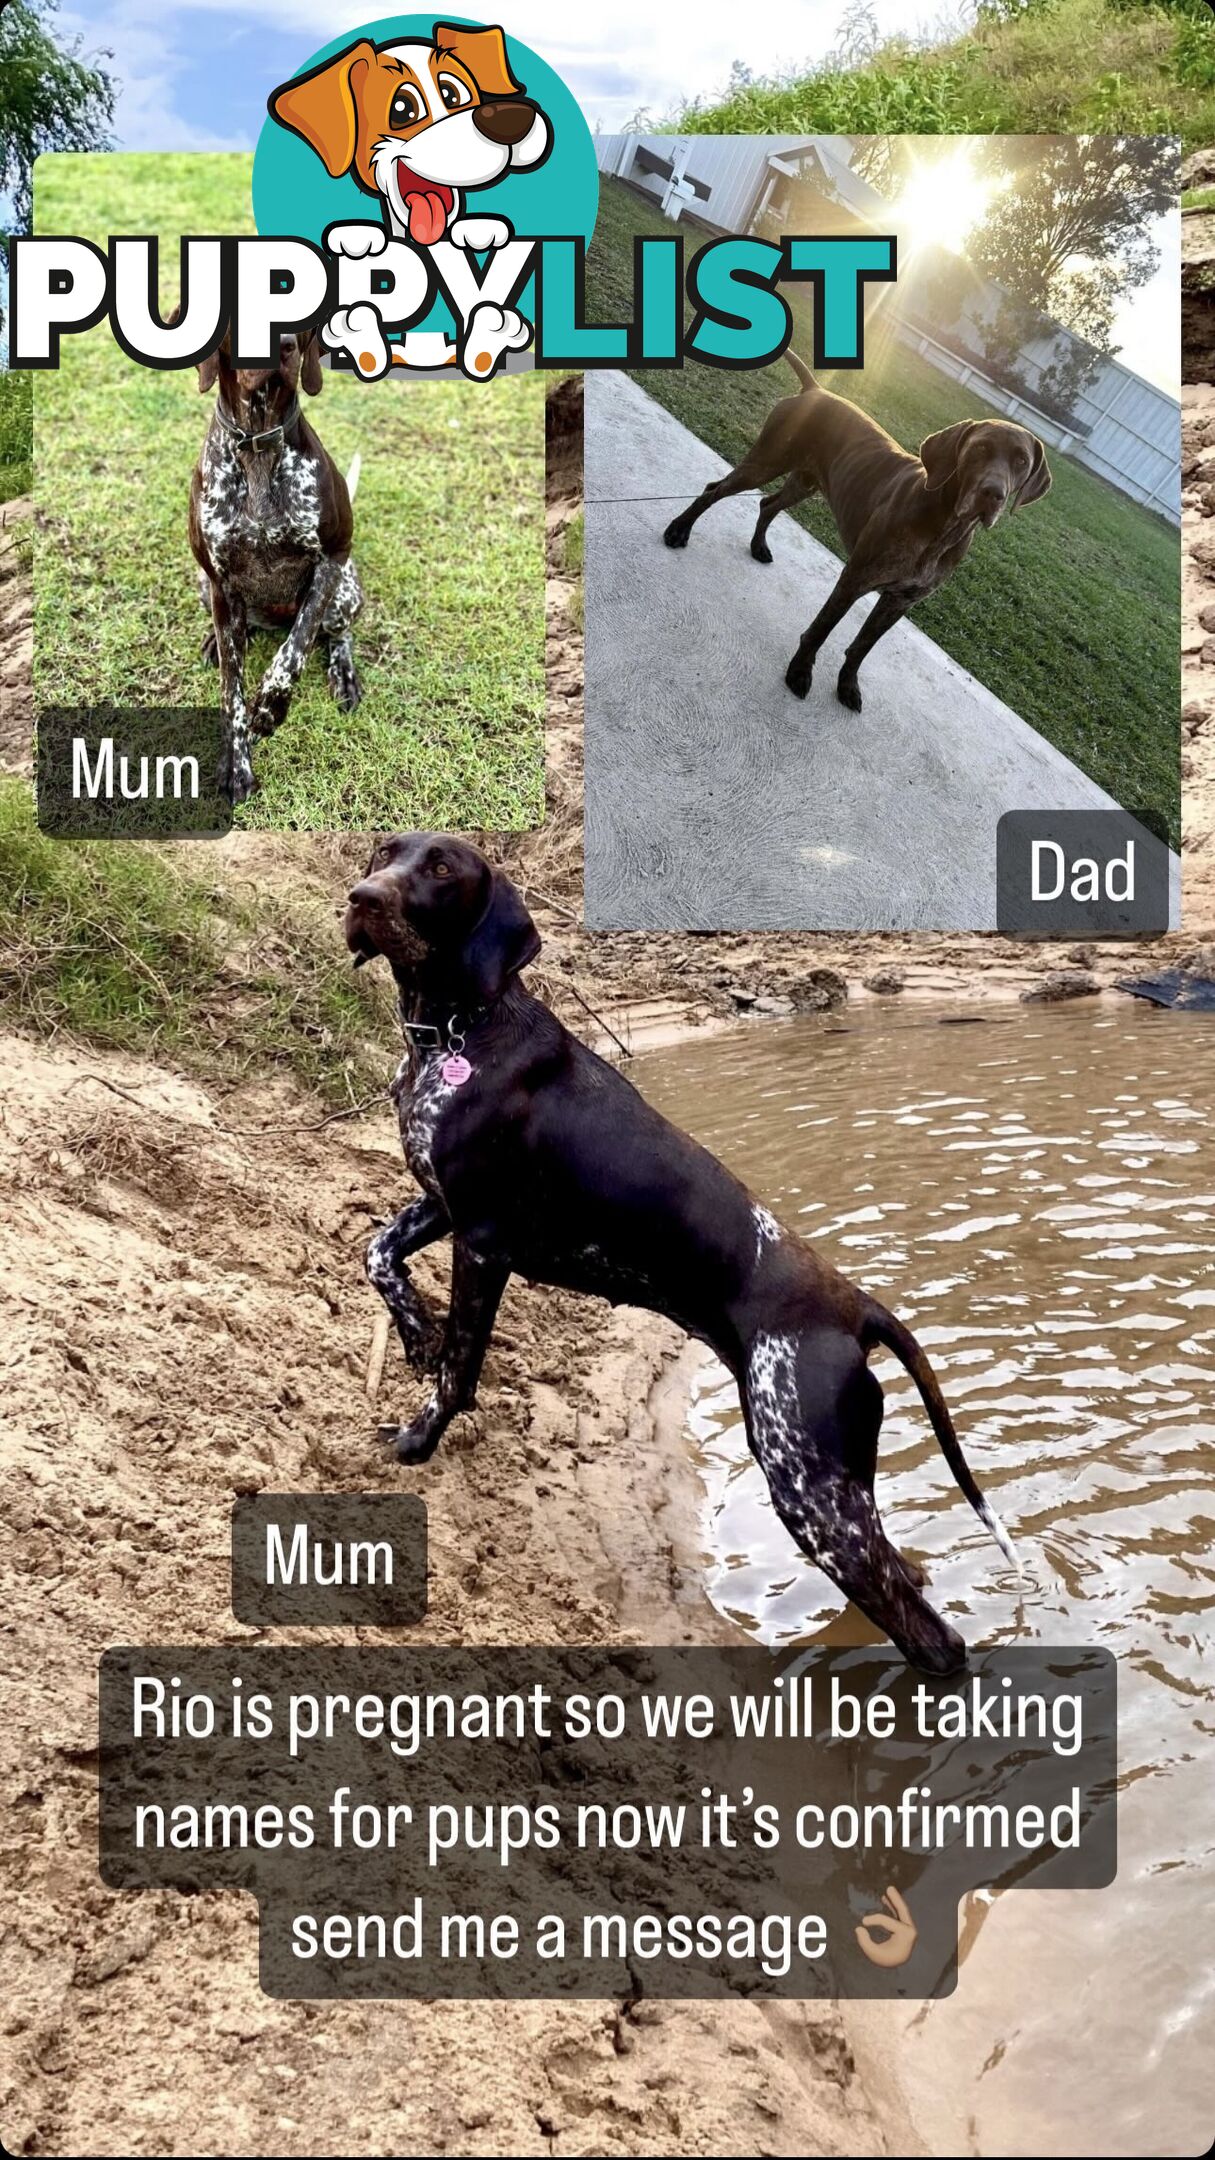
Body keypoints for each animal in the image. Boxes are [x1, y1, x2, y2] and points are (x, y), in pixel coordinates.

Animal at [179, 328, 358, 812]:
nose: (283, 345)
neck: (258, 443)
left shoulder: (332, 558)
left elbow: (294, 651)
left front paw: (269, 708)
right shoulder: (220, 581)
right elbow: (230, 690)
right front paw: (236, 766)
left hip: (347, 590)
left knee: (334, 636)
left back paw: (343, 674)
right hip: (205, 586)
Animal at [657, 352, 1046, 708]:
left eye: (1021, 461)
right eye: (980, 448)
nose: (993, 494)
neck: (943, 525)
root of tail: (814, 389)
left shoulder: (899, 601)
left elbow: (861, 647)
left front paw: (847, 685)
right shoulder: (854, 580)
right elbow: (821, 630)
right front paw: (800, 672)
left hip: (805, 482)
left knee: (768, 504)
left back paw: (758, 546)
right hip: (765, 462)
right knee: (715, 490)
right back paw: (679, 530)